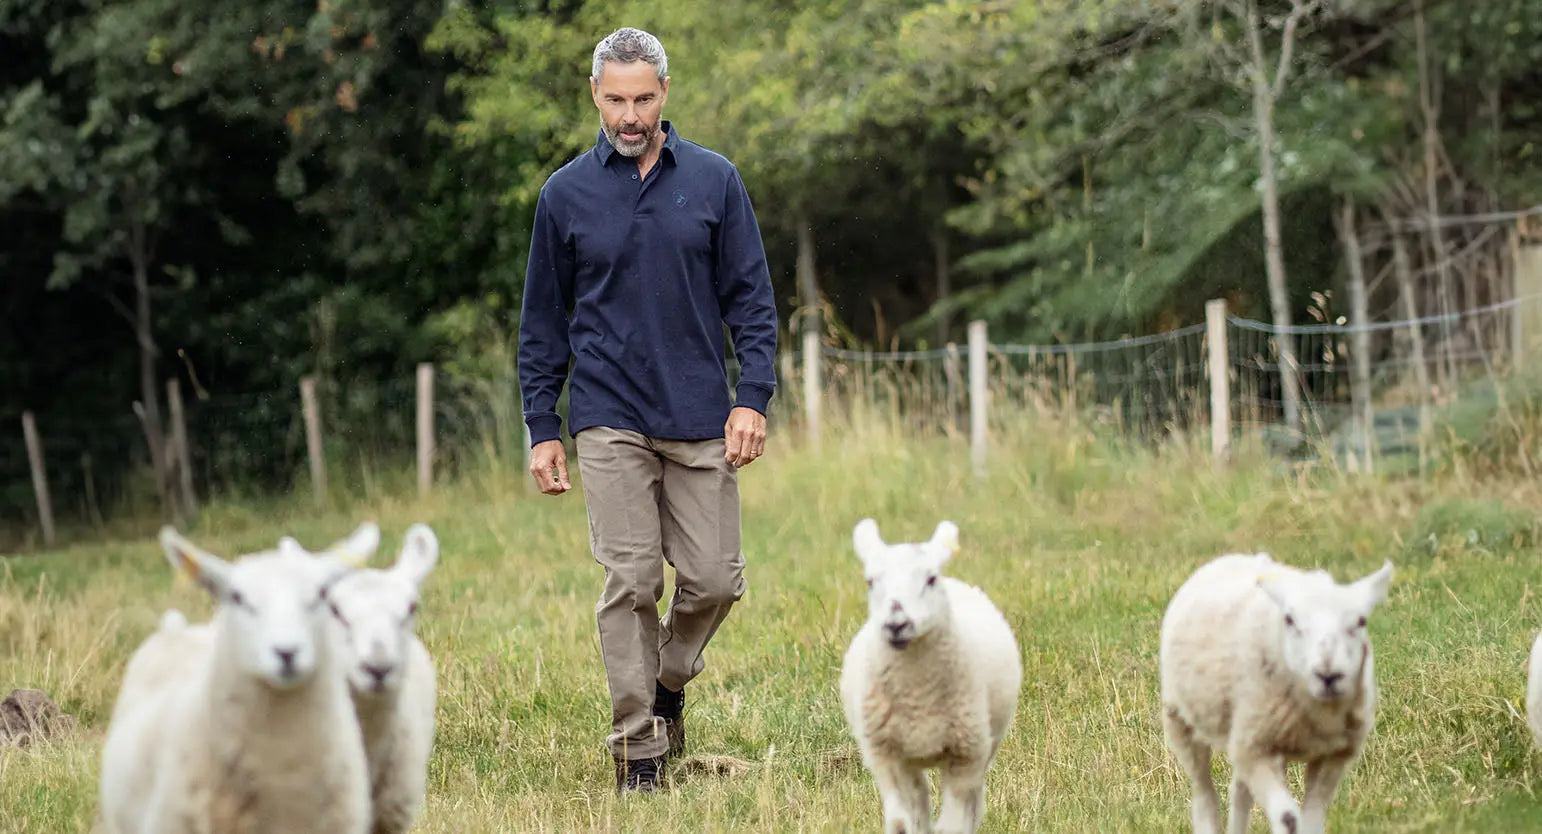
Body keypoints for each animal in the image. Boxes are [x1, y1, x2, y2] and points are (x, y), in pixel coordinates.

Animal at [838, 517, 1017, 826]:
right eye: (870, 581)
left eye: (930, 579)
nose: (896, 624)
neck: (918, 697)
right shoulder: (888, 758)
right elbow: (902, 823)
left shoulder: (965, 758)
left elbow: (953, 825)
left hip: (985, 744)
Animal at [1159, 551, 1400, 832]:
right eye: (1290, 620)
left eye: (1361, 621)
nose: (1328, 675)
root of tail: (1237, 556)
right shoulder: (1257, 746)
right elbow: (1288, 818)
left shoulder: (1331, 755)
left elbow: (1312, 819)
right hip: (1184, 722)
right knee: (1204, 795)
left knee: (1239, 793)